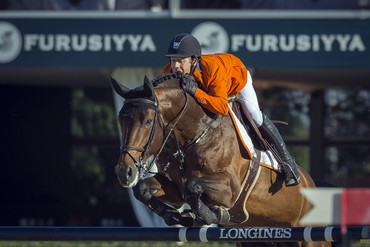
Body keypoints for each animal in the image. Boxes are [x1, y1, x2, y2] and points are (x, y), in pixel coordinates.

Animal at [111, 73, 330, 247]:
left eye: (148, 121)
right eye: (120, 120)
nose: (124, 172)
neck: (195, 134)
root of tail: (313, 184)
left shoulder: (230, 188)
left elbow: (192, 187)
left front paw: (209, 215)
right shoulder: (175, 189)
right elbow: (144, 189)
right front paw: (175, 216)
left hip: (310, 239)